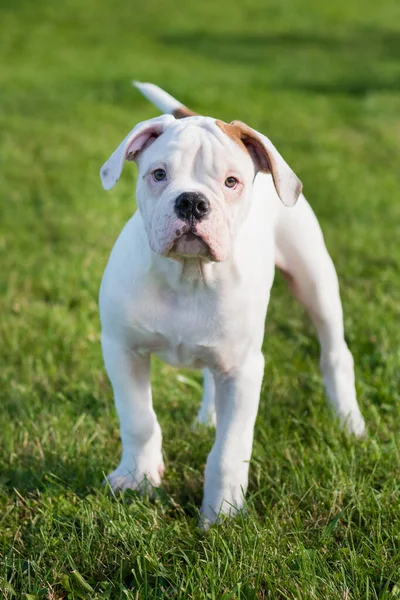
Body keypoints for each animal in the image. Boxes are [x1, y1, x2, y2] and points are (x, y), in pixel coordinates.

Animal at [97, 83, 366, 524]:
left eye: (231, 182)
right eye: (159, 174)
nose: (192, 202)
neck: (188, 277)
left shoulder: (243, 371)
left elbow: (230, 449)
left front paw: (221, 512)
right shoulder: (123, 351)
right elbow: (139, 419)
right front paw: (137, 477)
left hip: (315, 279)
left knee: (335, 353)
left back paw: (348, 421)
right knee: (209, 376)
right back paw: (208, 418)